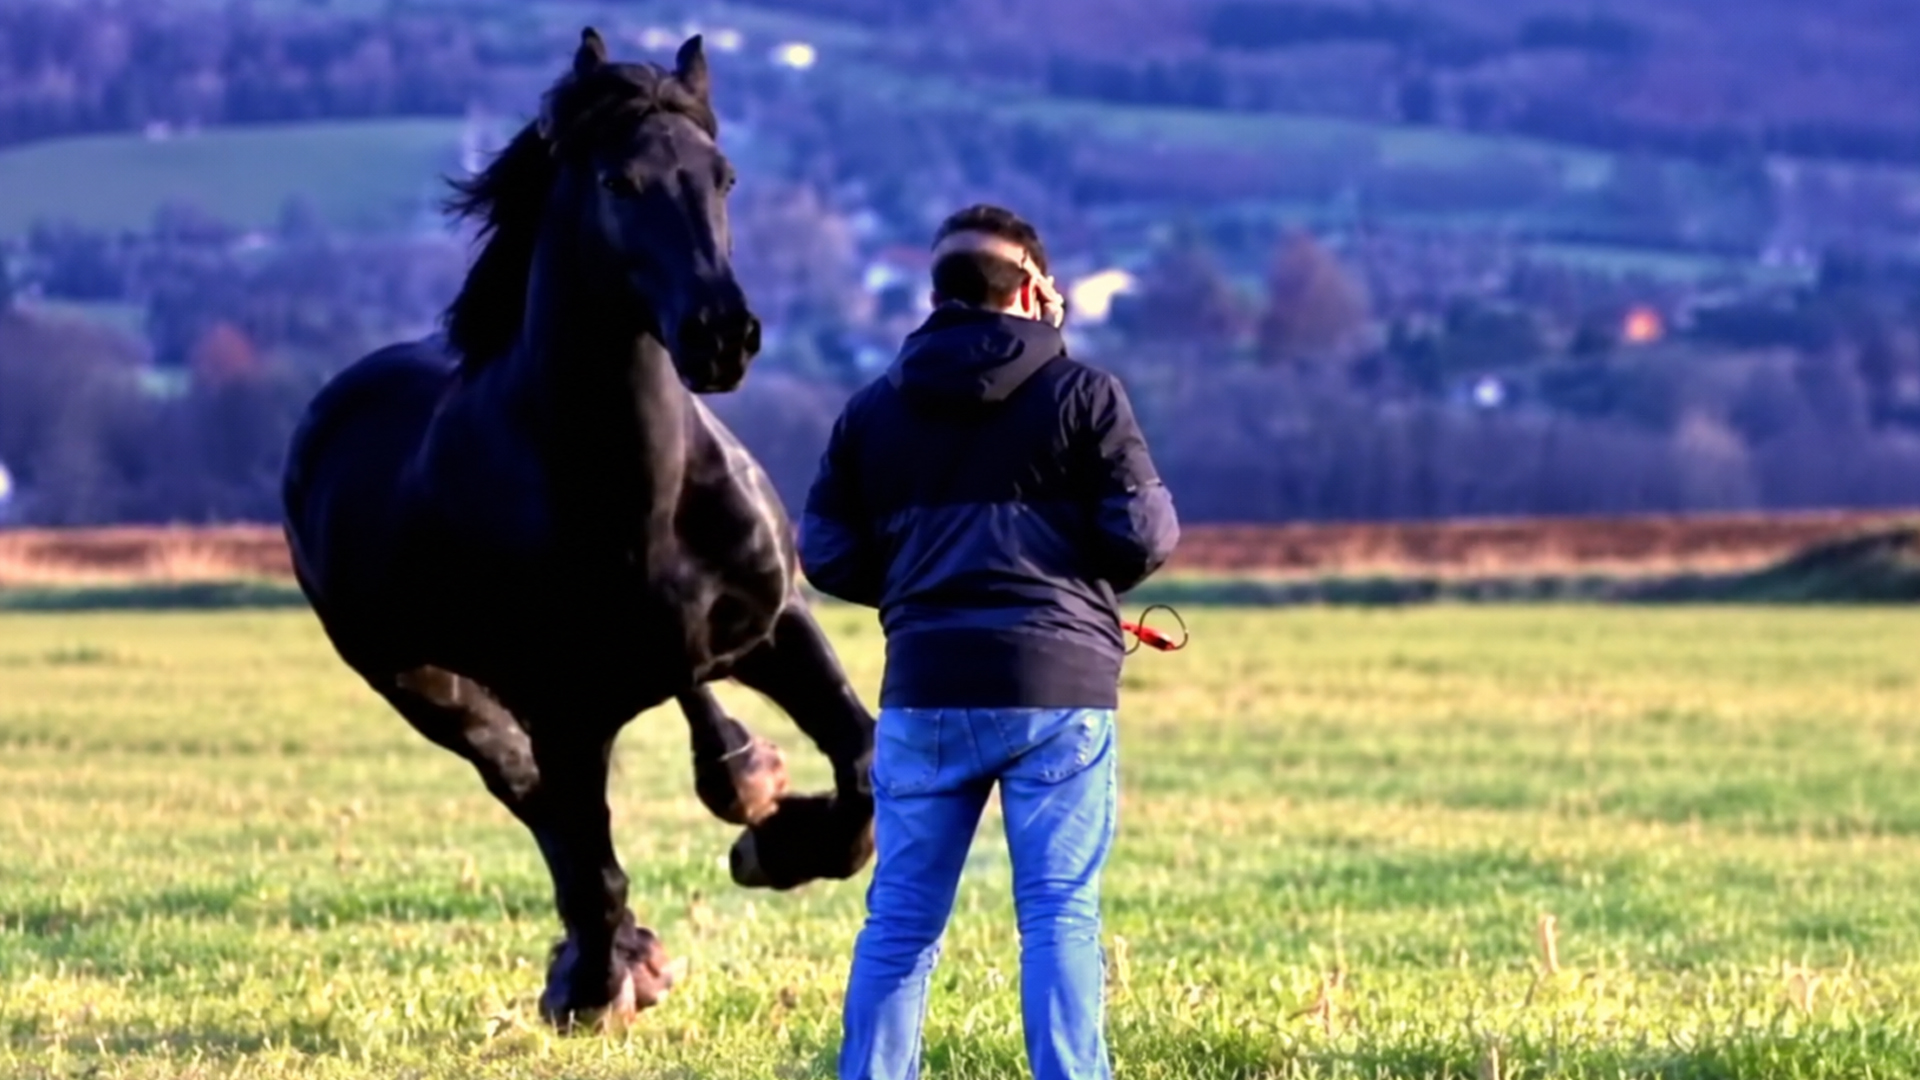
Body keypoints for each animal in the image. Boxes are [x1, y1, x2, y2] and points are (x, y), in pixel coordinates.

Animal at [279, 28, 875, 1030]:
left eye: (723, 176)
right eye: (618, 183)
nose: (723, 336)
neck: (640, 495)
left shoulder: (776, 625)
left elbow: (861, 755)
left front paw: (778, 841)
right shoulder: (563, 704)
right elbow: (589, 852)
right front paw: (601, 983)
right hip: (426, 684)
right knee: (535, 798)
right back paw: (617, 958)